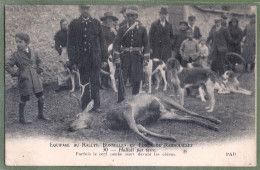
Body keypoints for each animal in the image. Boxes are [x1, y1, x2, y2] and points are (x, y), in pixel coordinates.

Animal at [69, 69, 221, 145]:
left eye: (78, 115)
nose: (69, 127)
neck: (108, 119)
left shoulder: (127, 110)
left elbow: (134, 129)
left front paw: (152, 142)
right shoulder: (136, 122)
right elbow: (141, 129)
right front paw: (169, 137)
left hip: (171, 103)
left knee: (190, 111)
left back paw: (215, 122)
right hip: (166, 115)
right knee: (189, 117)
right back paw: (211, 126)